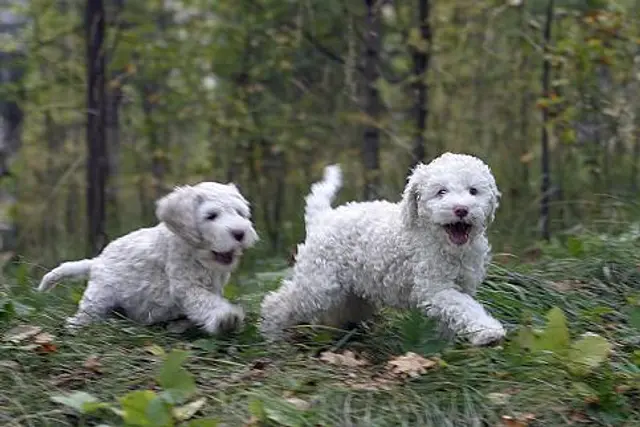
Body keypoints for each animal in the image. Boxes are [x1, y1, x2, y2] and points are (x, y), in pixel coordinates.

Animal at [37, 181, 258, 334]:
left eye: (240, 213)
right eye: (211, 216)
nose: (240, 233)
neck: (196, 253)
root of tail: (96, 262)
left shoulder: (213, 286)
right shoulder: (185, 285)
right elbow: (205, 302)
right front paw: (226, 318)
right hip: (99, 297)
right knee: (83, 316)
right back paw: (76, 327)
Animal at [258, 152, 504, 346]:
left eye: (473, 191)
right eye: (441, 192)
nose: (461, 209)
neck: (444, 244)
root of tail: (323, 217)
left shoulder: (464, 284)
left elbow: (456, 314)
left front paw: (447, 344)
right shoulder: (435, 288)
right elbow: (464, 307)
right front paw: (488, 332)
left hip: (352, 292)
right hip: (319, 284)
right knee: (278, 302)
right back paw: (272, 337)